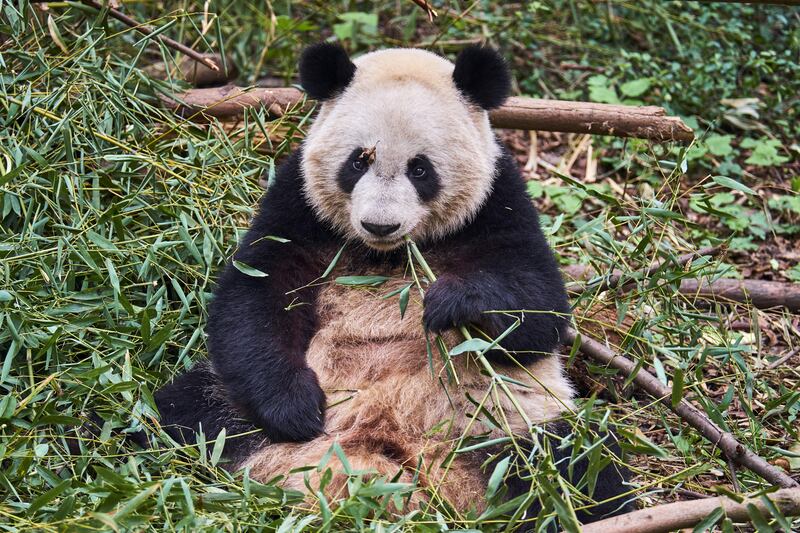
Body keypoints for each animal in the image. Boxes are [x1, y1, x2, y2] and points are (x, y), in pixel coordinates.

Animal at [153, 43, 636, 524]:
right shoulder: (298, 205)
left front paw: (451, 302)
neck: (386, 255)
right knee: (180, 413)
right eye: (358, 161)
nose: (379, 224)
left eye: (420, 169)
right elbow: (256, 297)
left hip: (511, 424)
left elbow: (539, 309)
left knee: (578, 468)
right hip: (231, 410)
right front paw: (296, 409)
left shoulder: (498, 202)